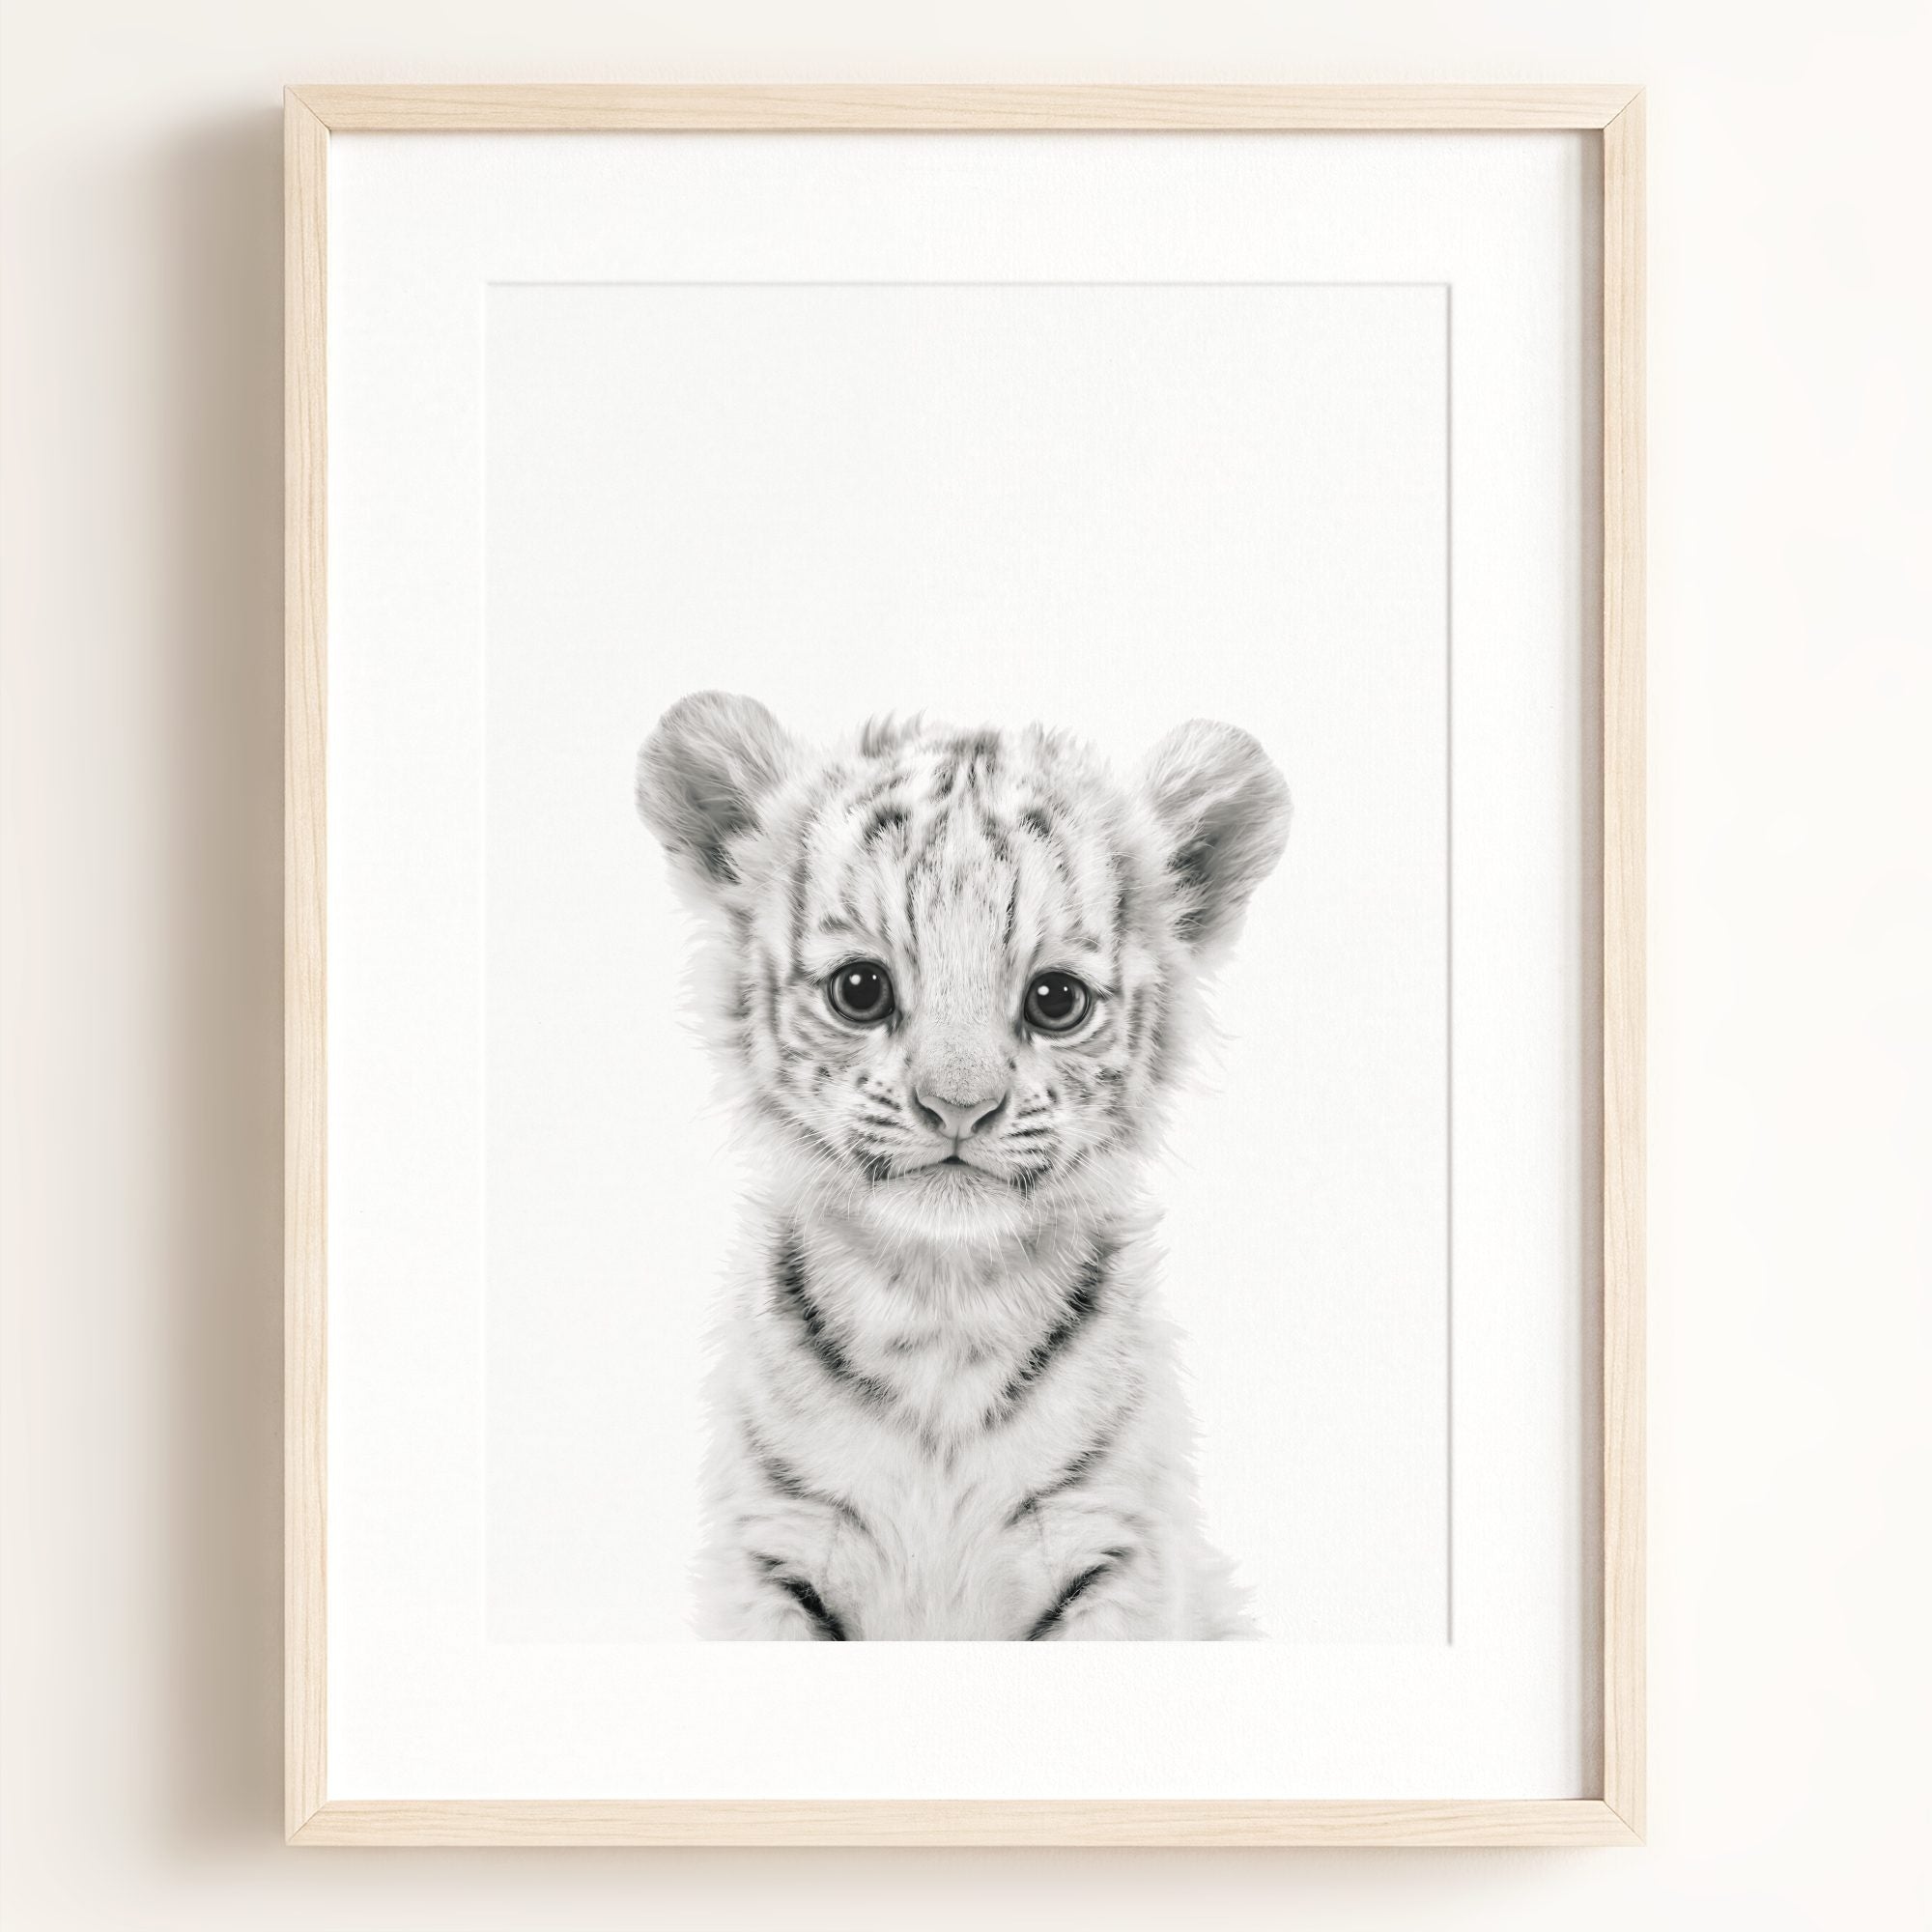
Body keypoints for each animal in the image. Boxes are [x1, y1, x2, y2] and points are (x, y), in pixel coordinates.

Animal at [635, 692, 1290, 1640]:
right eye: (860, 989)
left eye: (1056, 1001)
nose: (958, 1106)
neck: (941, 1306)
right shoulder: (776, 1551)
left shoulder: (1109, 1550)